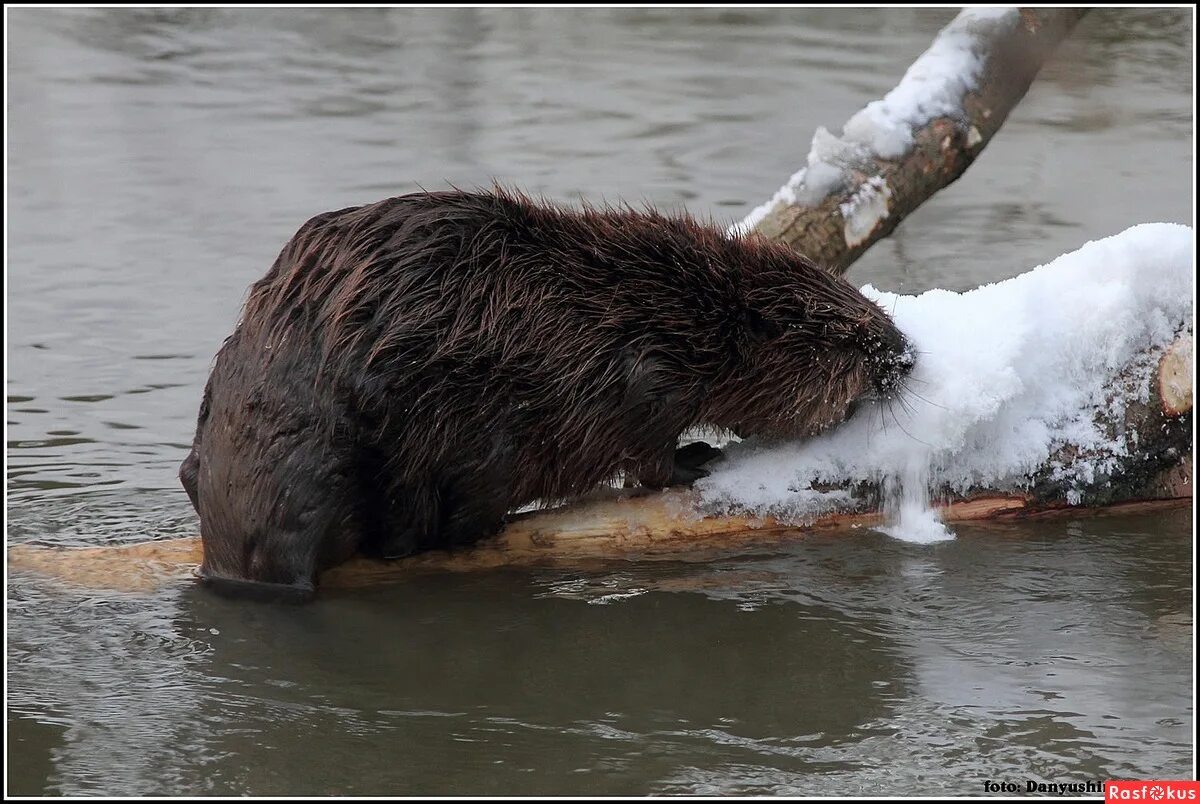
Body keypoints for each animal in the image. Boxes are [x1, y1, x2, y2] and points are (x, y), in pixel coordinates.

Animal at [175, 186, 907, 595]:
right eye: (844, 331)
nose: (904, 352)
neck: (673, 305)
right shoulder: (643, 372)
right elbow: (648, 450)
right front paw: (701, 459)